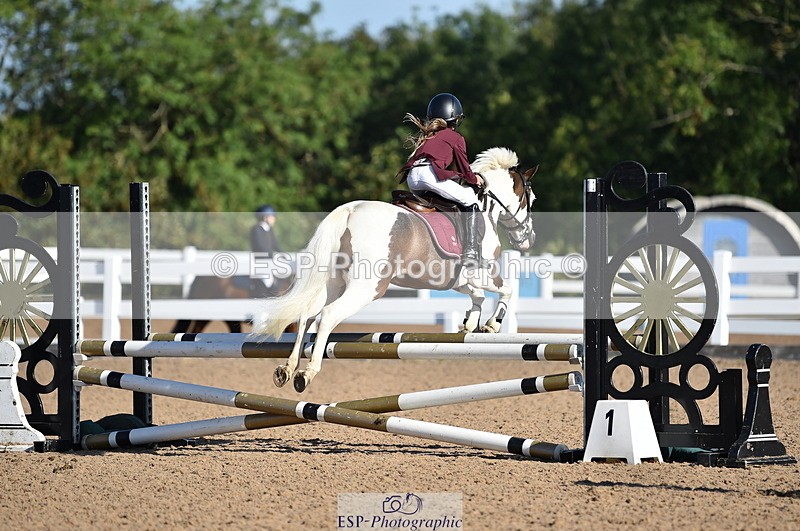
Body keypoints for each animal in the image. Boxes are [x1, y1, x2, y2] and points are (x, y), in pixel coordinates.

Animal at [256, 147, 537, 392]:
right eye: (530, 200)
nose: (528, 240)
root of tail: (351, 210)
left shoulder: (454, 280)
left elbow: (477, 296)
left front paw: (469, 324)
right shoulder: (483, 274)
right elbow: (507, 290)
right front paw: (491, 325)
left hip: (334, 283)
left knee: (306, 315)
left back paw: (287, 369)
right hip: (367, 288)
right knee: (326, 316)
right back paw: (307, 373)